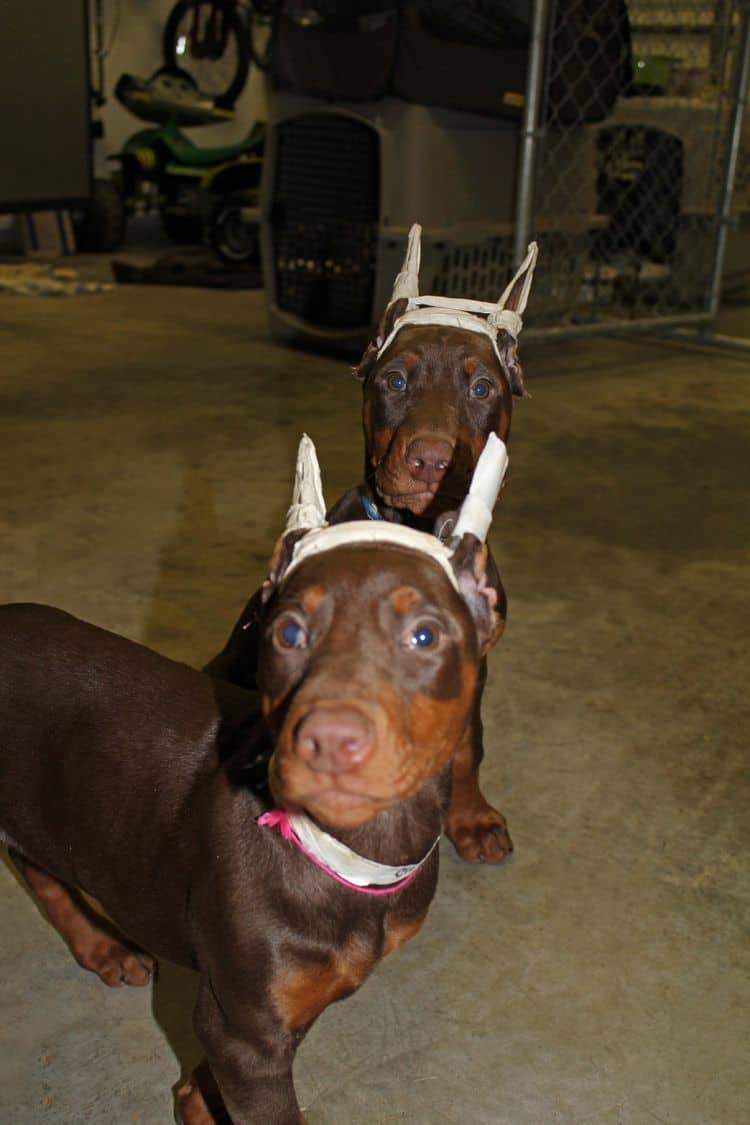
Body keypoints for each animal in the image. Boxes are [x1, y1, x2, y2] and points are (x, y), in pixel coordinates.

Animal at [0, 434, 510, 1120]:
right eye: (288, 632)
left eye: (425, 635)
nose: (328, 742)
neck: (344, 854)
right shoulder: (246, 1030)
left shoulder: (264, 1010)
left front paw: (196, 1095)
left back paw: (101, 947)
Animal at [208, 223, 537, 864]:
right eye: (395, 380)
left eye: (482, 386)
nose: (431, 461)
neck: (416, 526)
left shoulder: (472, 657)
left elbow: (468, 740)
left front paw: (472, 816)